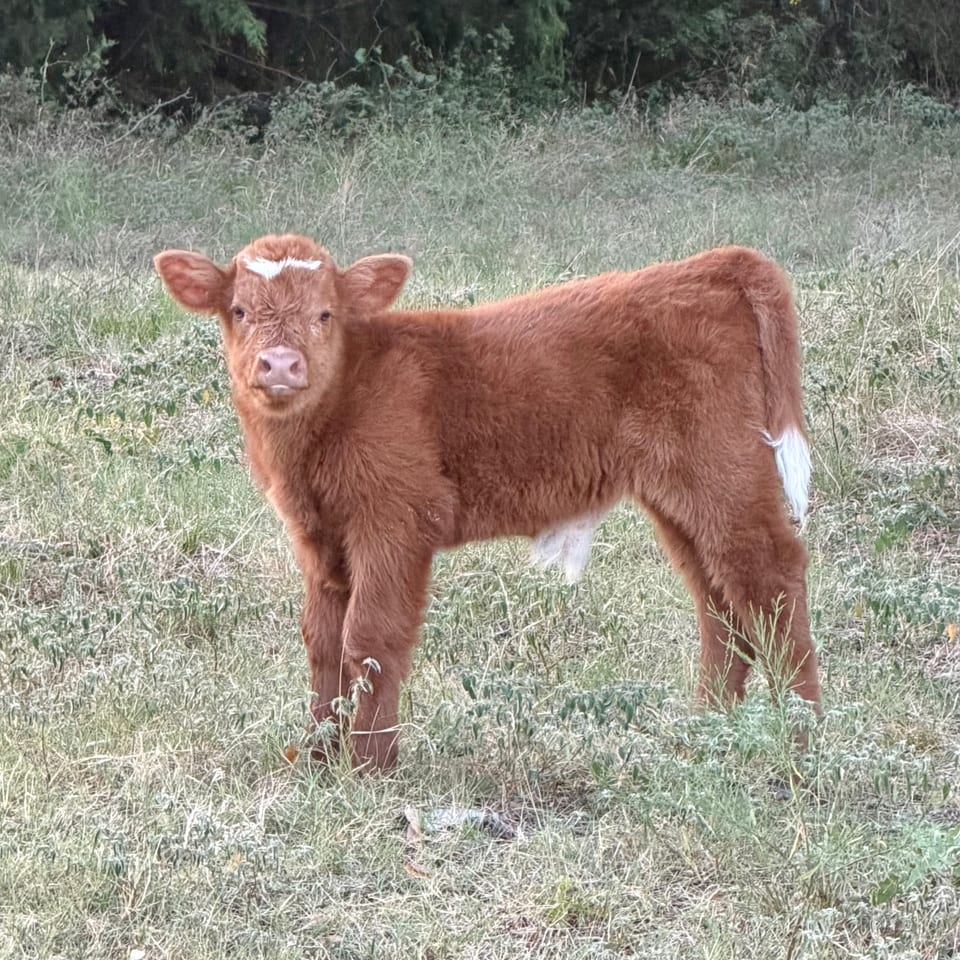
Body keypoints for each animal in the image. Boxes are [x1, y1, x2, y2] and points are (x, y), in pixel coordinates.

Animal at [154, 234, 821, 771]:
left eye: (325, 313)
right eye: (238, 310)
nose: (281, 364)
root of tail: (713, 263)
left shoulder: (396, 520)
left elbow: (369, 638)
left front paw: (370, 767)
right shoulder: (317, 536)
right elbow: (322, 641)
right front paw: (317, 760)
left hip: (726, 473)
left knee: (770, 577)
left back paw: (804, 742)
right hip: (680, 497)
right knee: (720, 602)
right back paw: (708, 735)